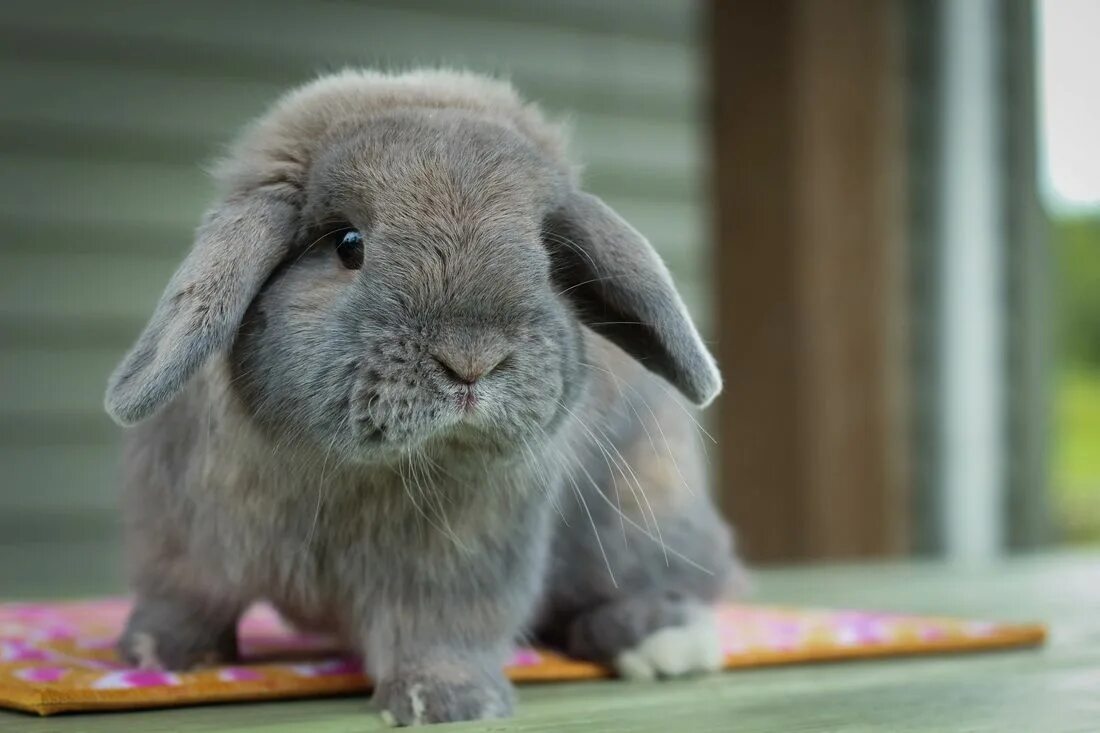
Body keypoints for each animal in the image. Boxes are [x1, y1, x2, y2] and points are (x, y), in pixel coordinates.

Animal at [105, 69, 739, 726]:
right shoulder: (181, 539)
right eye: (347, 243)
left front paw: (448, 703)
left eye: (546, 257)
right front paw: (155, 652)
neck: (344, 470)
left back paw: (666, 640)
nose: (472, 359)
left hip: (648, 517)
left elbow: (439, 629)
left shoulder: (461, 561)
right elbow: (185, 597)